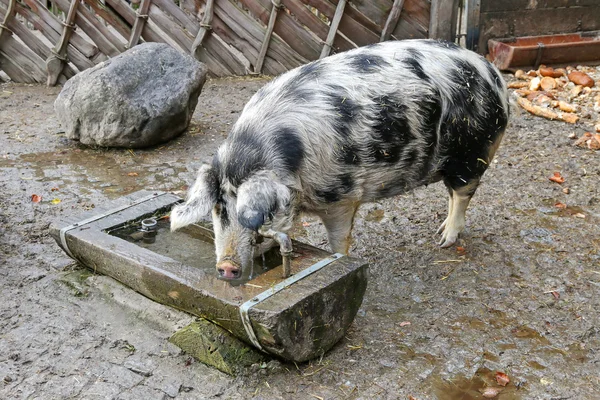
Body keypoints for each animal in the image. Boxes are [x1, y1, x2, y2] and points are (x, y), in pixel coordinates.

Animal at [169, 39, 506, 278]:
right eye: (218, 208)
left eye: (251, 210)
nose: (226, 267)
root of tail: (492, 72)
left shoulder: (341, 197)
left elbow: (338, 240)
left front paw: (339, 262)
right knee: (451, 193)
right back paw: (439, 230)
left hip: (475, 149)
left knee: (462, 194)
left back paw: (444, 240)